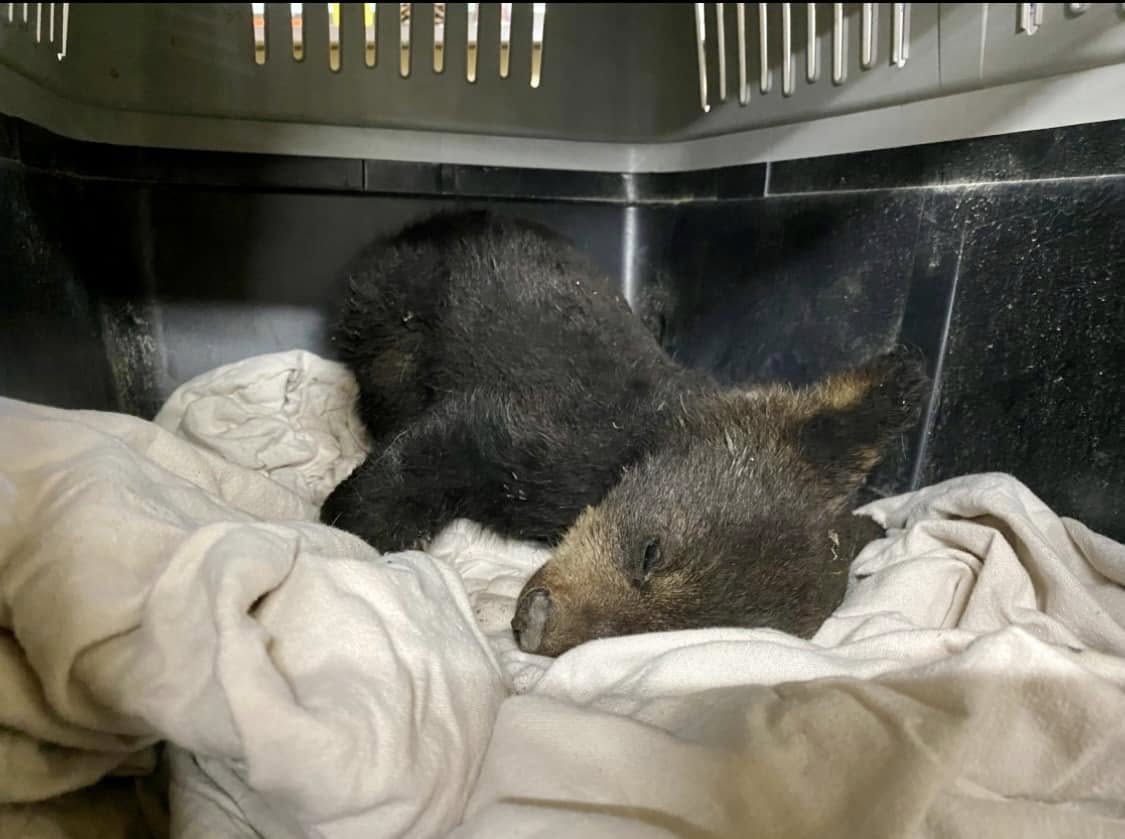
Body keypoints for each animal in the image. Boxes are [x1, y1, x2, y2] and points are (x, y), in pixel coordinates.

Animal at [320, 210, 929, 657]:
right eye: (650, 552)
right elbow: (443, 446)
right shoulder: (547, 424)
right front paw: (348, 526)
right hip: (392, 309)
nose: (535, 623)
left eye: (664, 634)